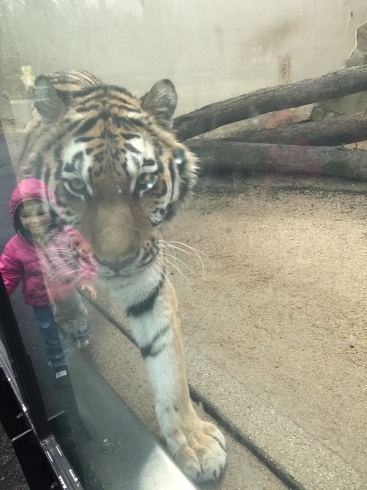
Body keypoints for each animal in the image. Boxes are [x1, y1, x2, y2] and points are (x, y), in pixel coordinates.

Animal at [18, 68, 229, 482]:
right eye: (76, 186)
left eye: (144, 182)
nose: (115, 262)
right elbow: (55, 282)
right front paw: (71, 318)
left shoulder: (147, 280)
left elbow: (169, 365)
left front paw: (194, 442)